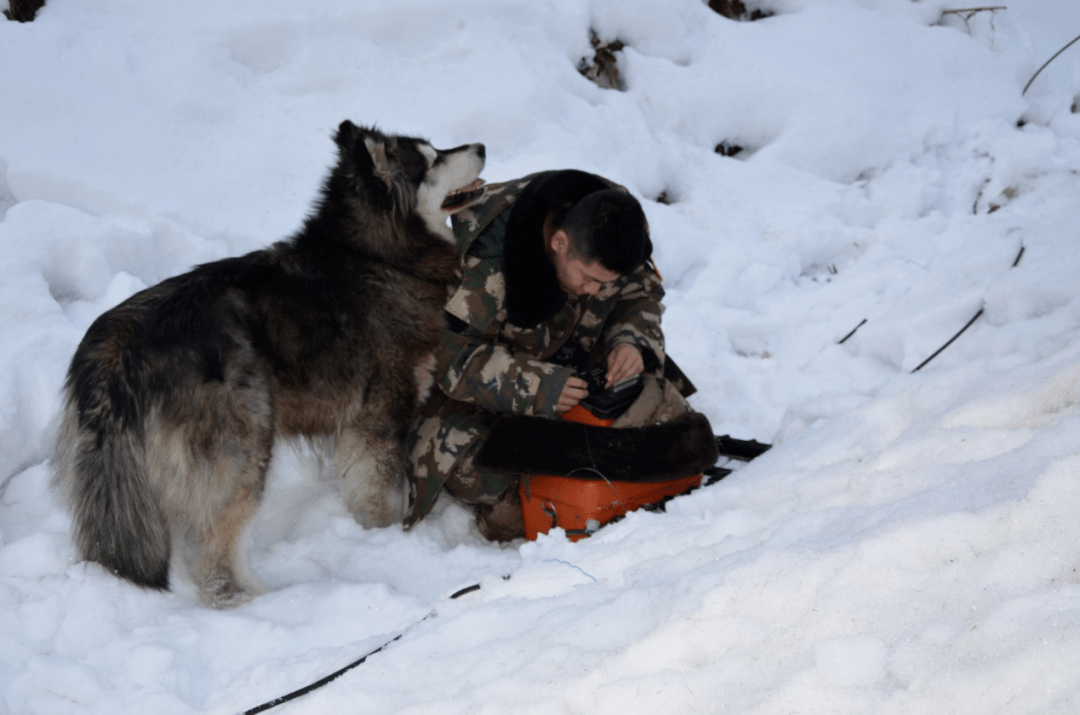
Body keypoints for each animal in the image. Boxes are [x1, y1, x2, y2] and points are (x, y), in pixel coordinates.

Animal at [53, 120, 486, 609]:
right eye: (432, 160)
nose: (481, 146)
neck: (377, 256)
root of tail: (120, 341)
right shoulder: (379, 417)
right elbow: (381, 494)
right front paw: (387, 541)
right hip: (244, 447)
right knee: (216, 557)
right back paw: (262, 600)